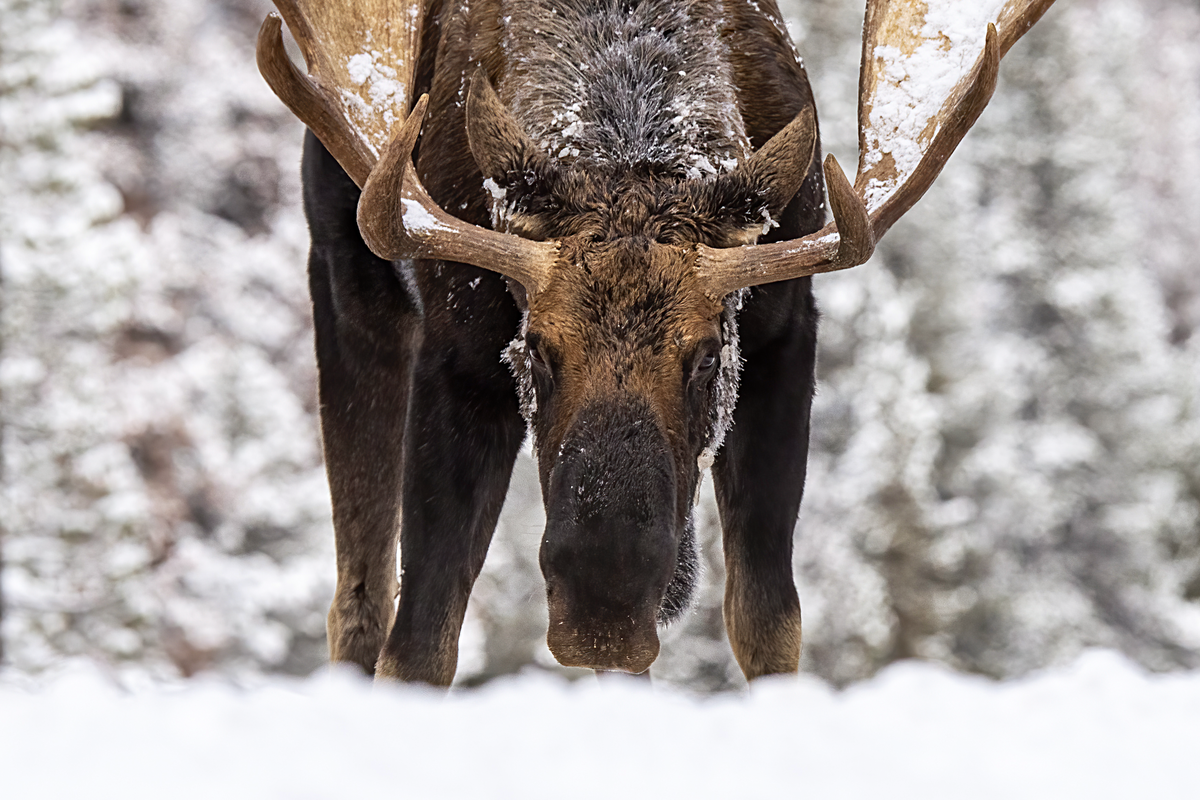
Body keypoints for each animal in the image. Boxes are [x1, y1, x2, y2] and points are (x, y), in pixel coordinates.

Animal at [258, 0, 1056, 686]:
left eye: (706, 357)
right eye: (536, 348)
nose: (601, 614)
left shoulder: (784, 335)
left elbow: (769, 625)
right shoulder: (460, 352)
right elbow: (419, 642)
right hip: (349, 281)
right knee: (358, 600)